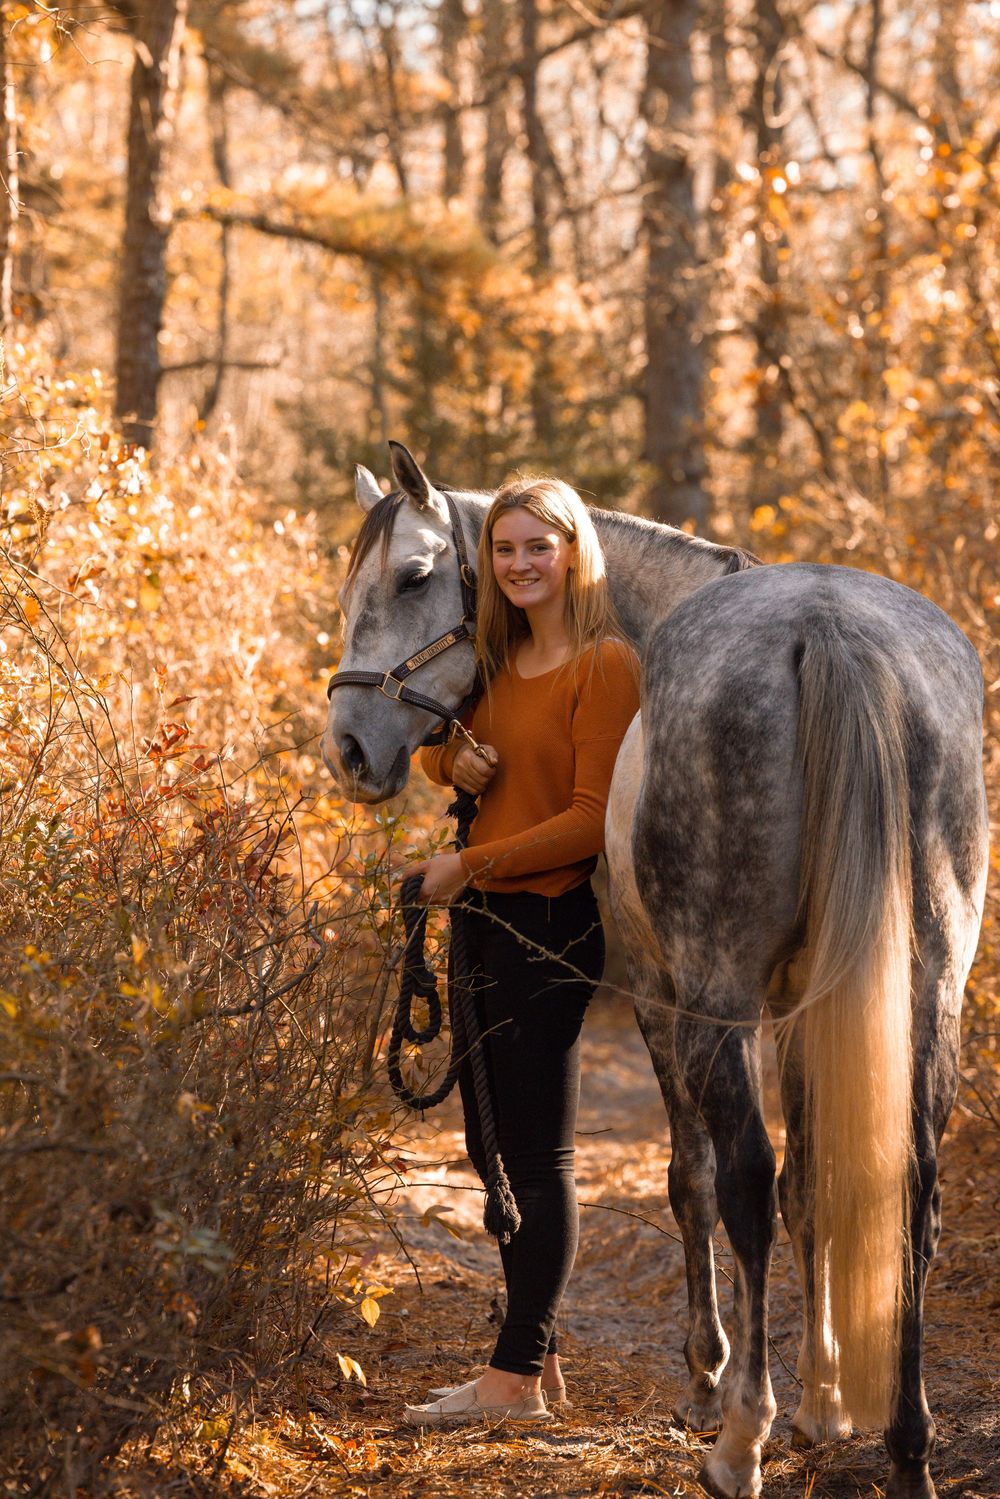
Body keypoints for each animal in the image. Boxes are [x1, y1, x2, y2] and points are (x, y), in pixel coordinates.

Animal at [321, 441, 988, 1499]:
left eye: (415, 577)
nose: (349, 748)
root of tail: (830, 631)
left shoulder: (660, 995)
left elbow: (696, 1178)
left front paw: (713, 1380)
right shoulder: (808, 1005)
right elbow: (818, 1183)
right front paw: (825, 1404)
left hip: (714, 997)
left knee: (744, 1177)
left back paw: (739, 1439)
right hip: (932, 989)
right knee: (910, 1184)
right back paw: (909, 1448)